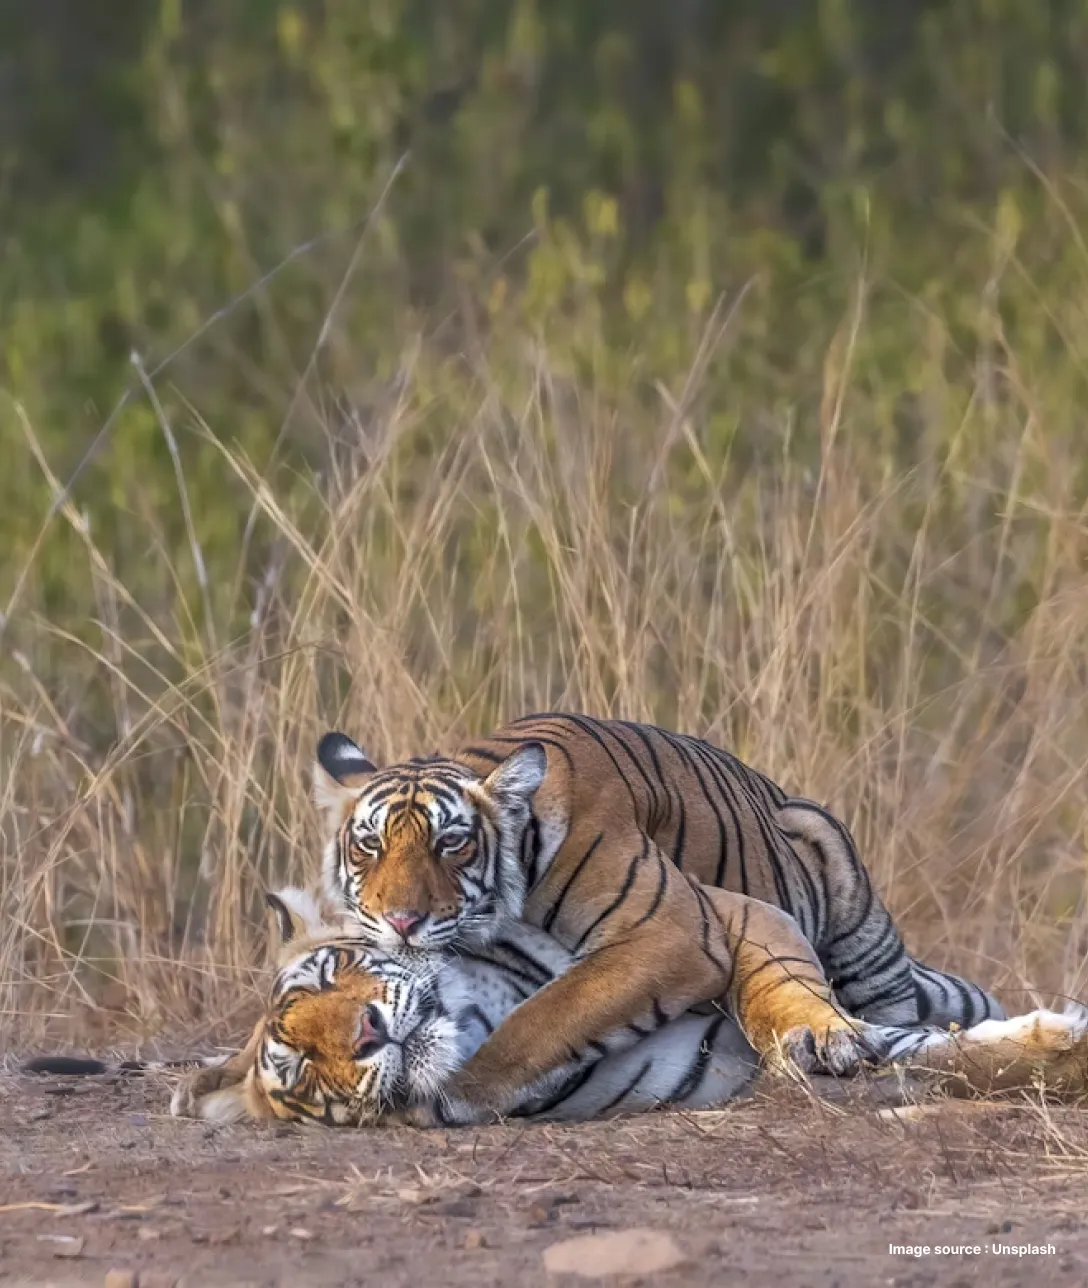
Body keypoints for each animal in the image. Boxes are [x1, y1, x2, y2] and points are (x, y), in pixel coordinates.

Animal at [312, 712, 1006, 1119]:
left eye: (451, 844)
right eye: (369, 844)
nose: (401, 921)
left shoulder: (670, 931)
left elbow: (544, 1017)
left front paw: (446, 1091)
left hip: (848, 897)